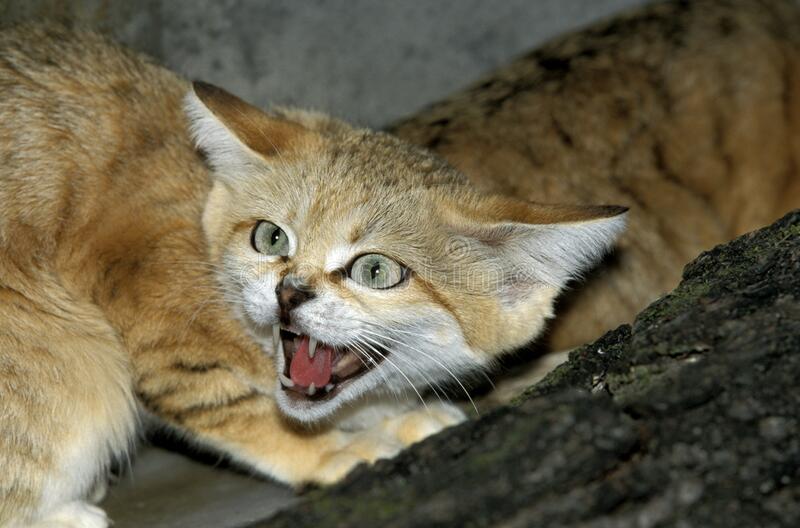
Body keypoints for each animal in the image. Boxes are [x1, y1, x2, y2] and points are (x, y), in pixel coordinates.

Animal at [0, 25, 624, 528]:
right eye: (271, 238)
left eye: (376, 270)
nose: (289, 290)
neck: (204, 210)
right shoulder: (159, 330)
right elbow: (242, 413)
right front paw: (338, 451)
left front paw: (400, 415)